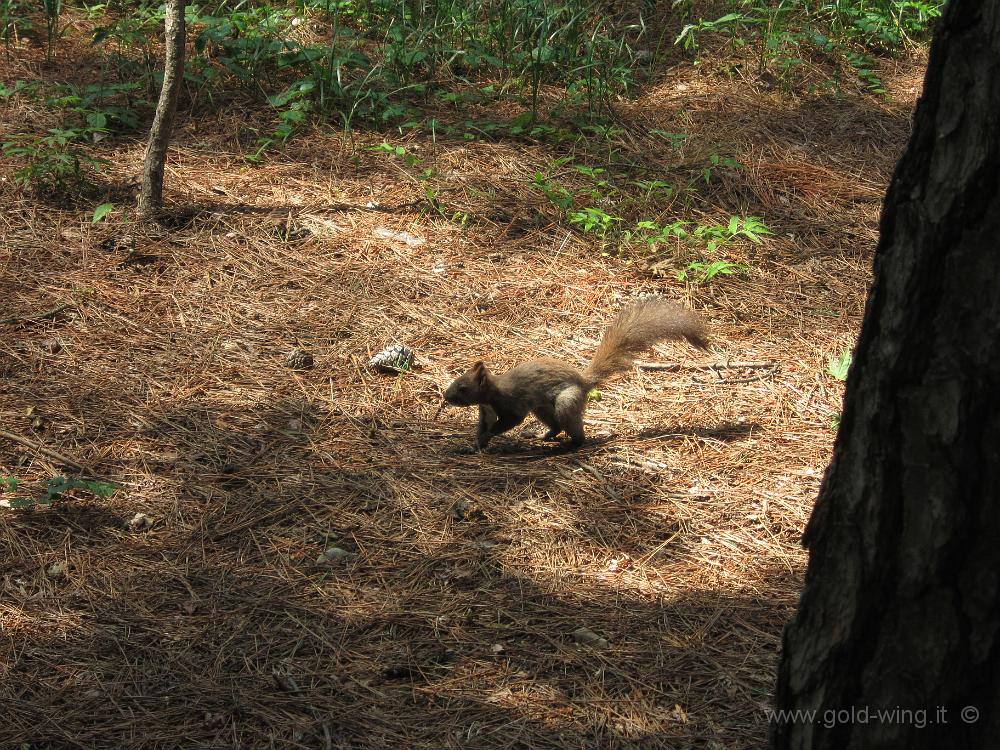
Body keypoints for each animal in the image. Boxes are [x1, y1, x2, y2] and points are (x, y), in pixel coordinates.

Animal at [442, 298, 708, 452]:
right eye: (457, 380)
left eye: (463, 388)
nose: (446, 396)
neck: (491, 393)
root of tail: (584, 382)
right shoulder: (486, 410)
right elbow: (483, 426)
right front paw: (477, 443)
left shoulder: (511, 404)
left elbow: (509, 422)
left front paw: (488, 437)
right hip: (543, 409)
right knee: (556, 426)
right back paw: (545, 436)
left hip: (565, 402)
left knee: (572, 428)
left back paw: (571, 444)